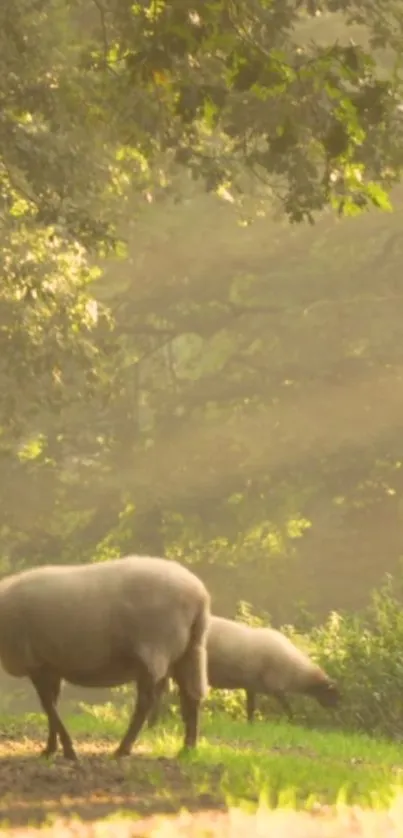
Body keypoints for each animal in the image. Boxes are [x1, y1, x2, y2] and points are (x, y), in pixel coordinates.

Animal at [0, 556, 211, 764]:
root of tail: (199, 594)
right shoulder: (50, 665)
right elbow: (52, 704)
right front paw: (51, 748)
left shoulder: (36, 663)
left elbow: (48, 706)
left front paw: (67, 750)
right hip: (191, 649)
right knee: (191, 696)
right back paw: (188, 749)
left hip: (155, 648)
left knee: (146, 702)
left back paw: (123, 749)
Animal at [147, 612, 340, 732]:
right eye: (332, 693)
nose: (336, 708)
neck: (296, 672)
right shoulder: (276, 687)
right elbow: (286, 706)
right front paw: (292, 721)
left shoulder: (251, 685)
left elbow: (251, 708)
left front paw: (250, 725)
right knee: (160, 691)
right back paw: (155, 720)